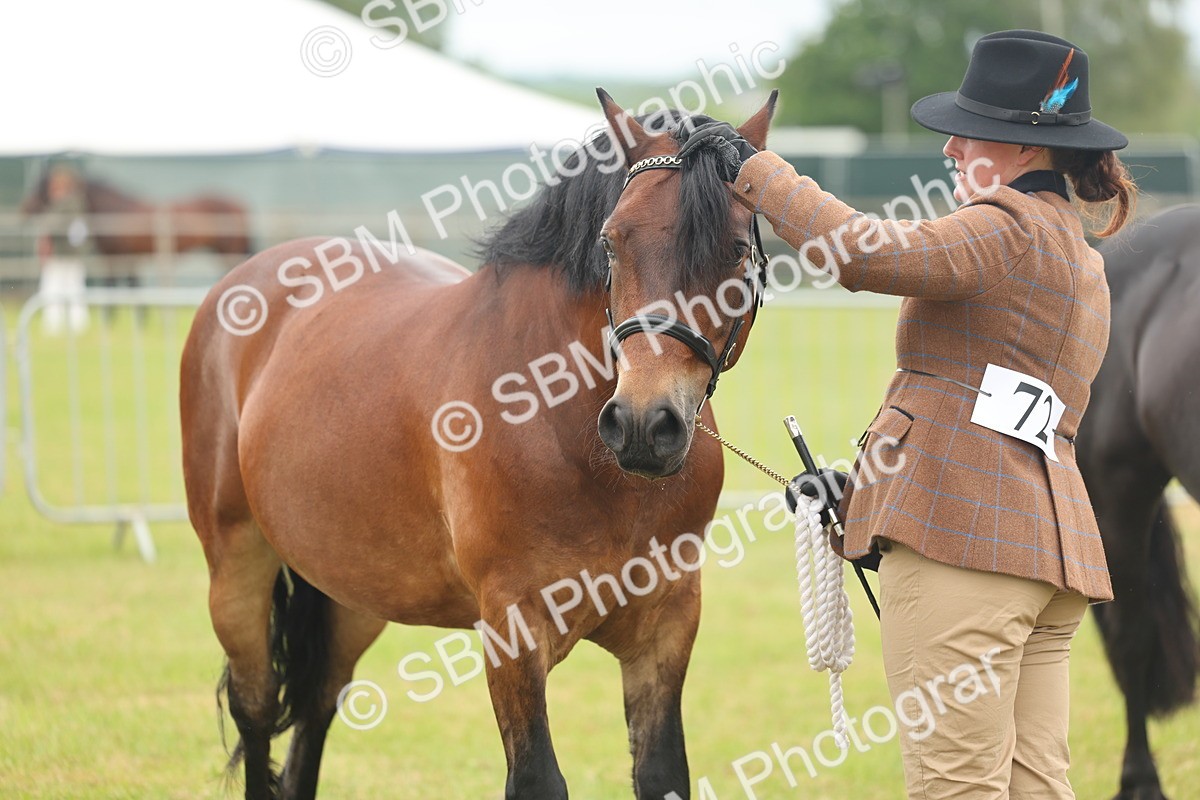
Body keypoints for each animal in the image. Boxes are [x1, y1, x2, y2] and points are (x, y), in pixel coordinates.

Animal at [179, 90, 776, 799]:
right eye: (610, 243)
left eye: (736, 250)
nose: (641, 426)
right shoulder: (513, 628)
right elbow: (537, 778)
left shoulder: (668, 623)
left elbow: (661, 771)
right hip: (235, 568)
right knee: (256, 708)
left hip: (354, 591)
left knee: (316, 709)